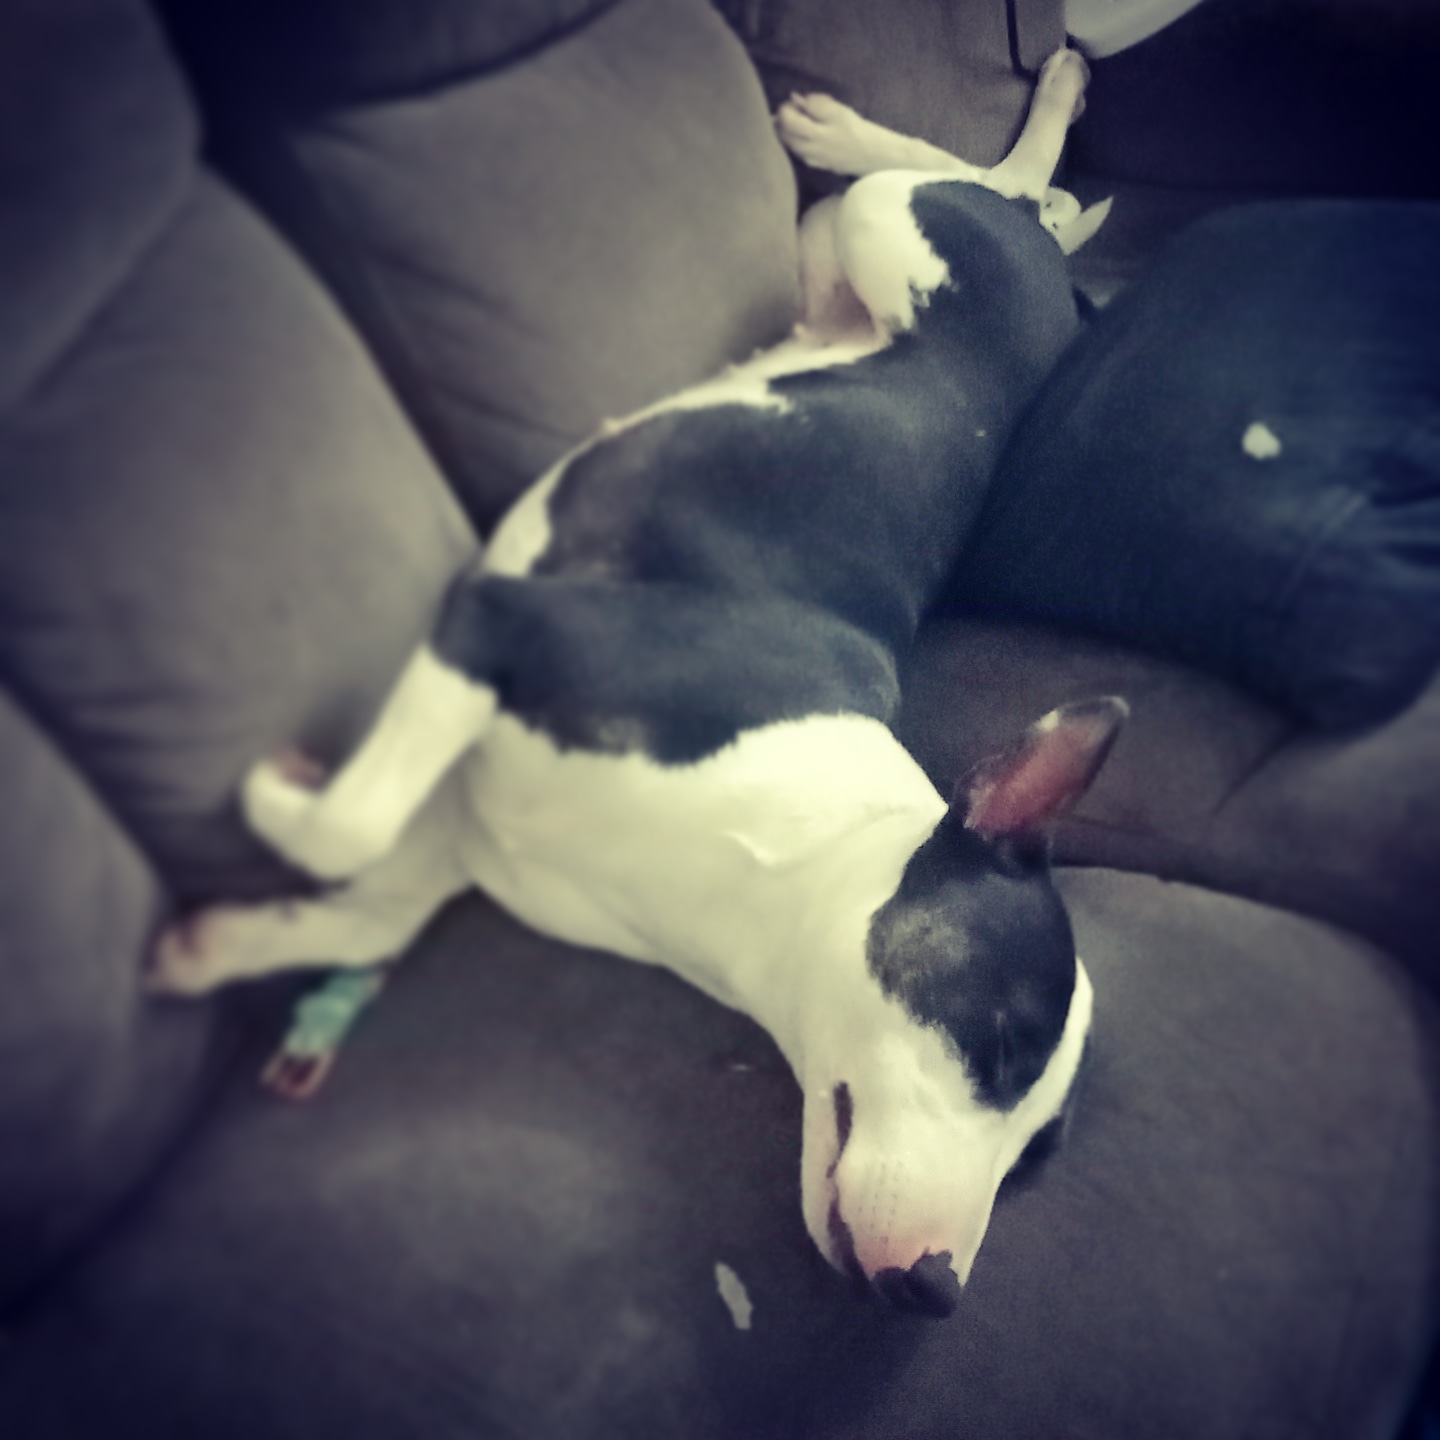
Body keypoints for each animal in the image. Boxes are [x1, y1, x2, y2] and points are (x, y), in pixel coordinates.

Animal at [151, 48, 1125, 1318]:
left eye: (1039, 1157)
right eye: (997, 1041)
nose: (936, 1291)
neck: (770, 870)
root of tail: (1058, 299)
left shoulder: (465, 808)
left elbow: (373, 897)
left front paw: (210, 947)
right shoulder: (493, 625)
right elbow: (350, 831)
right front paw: (274, 802)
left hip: (847, 261)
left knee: (990, 203)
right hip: (898, 228)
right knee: (980, 181)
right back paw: (887, 118)